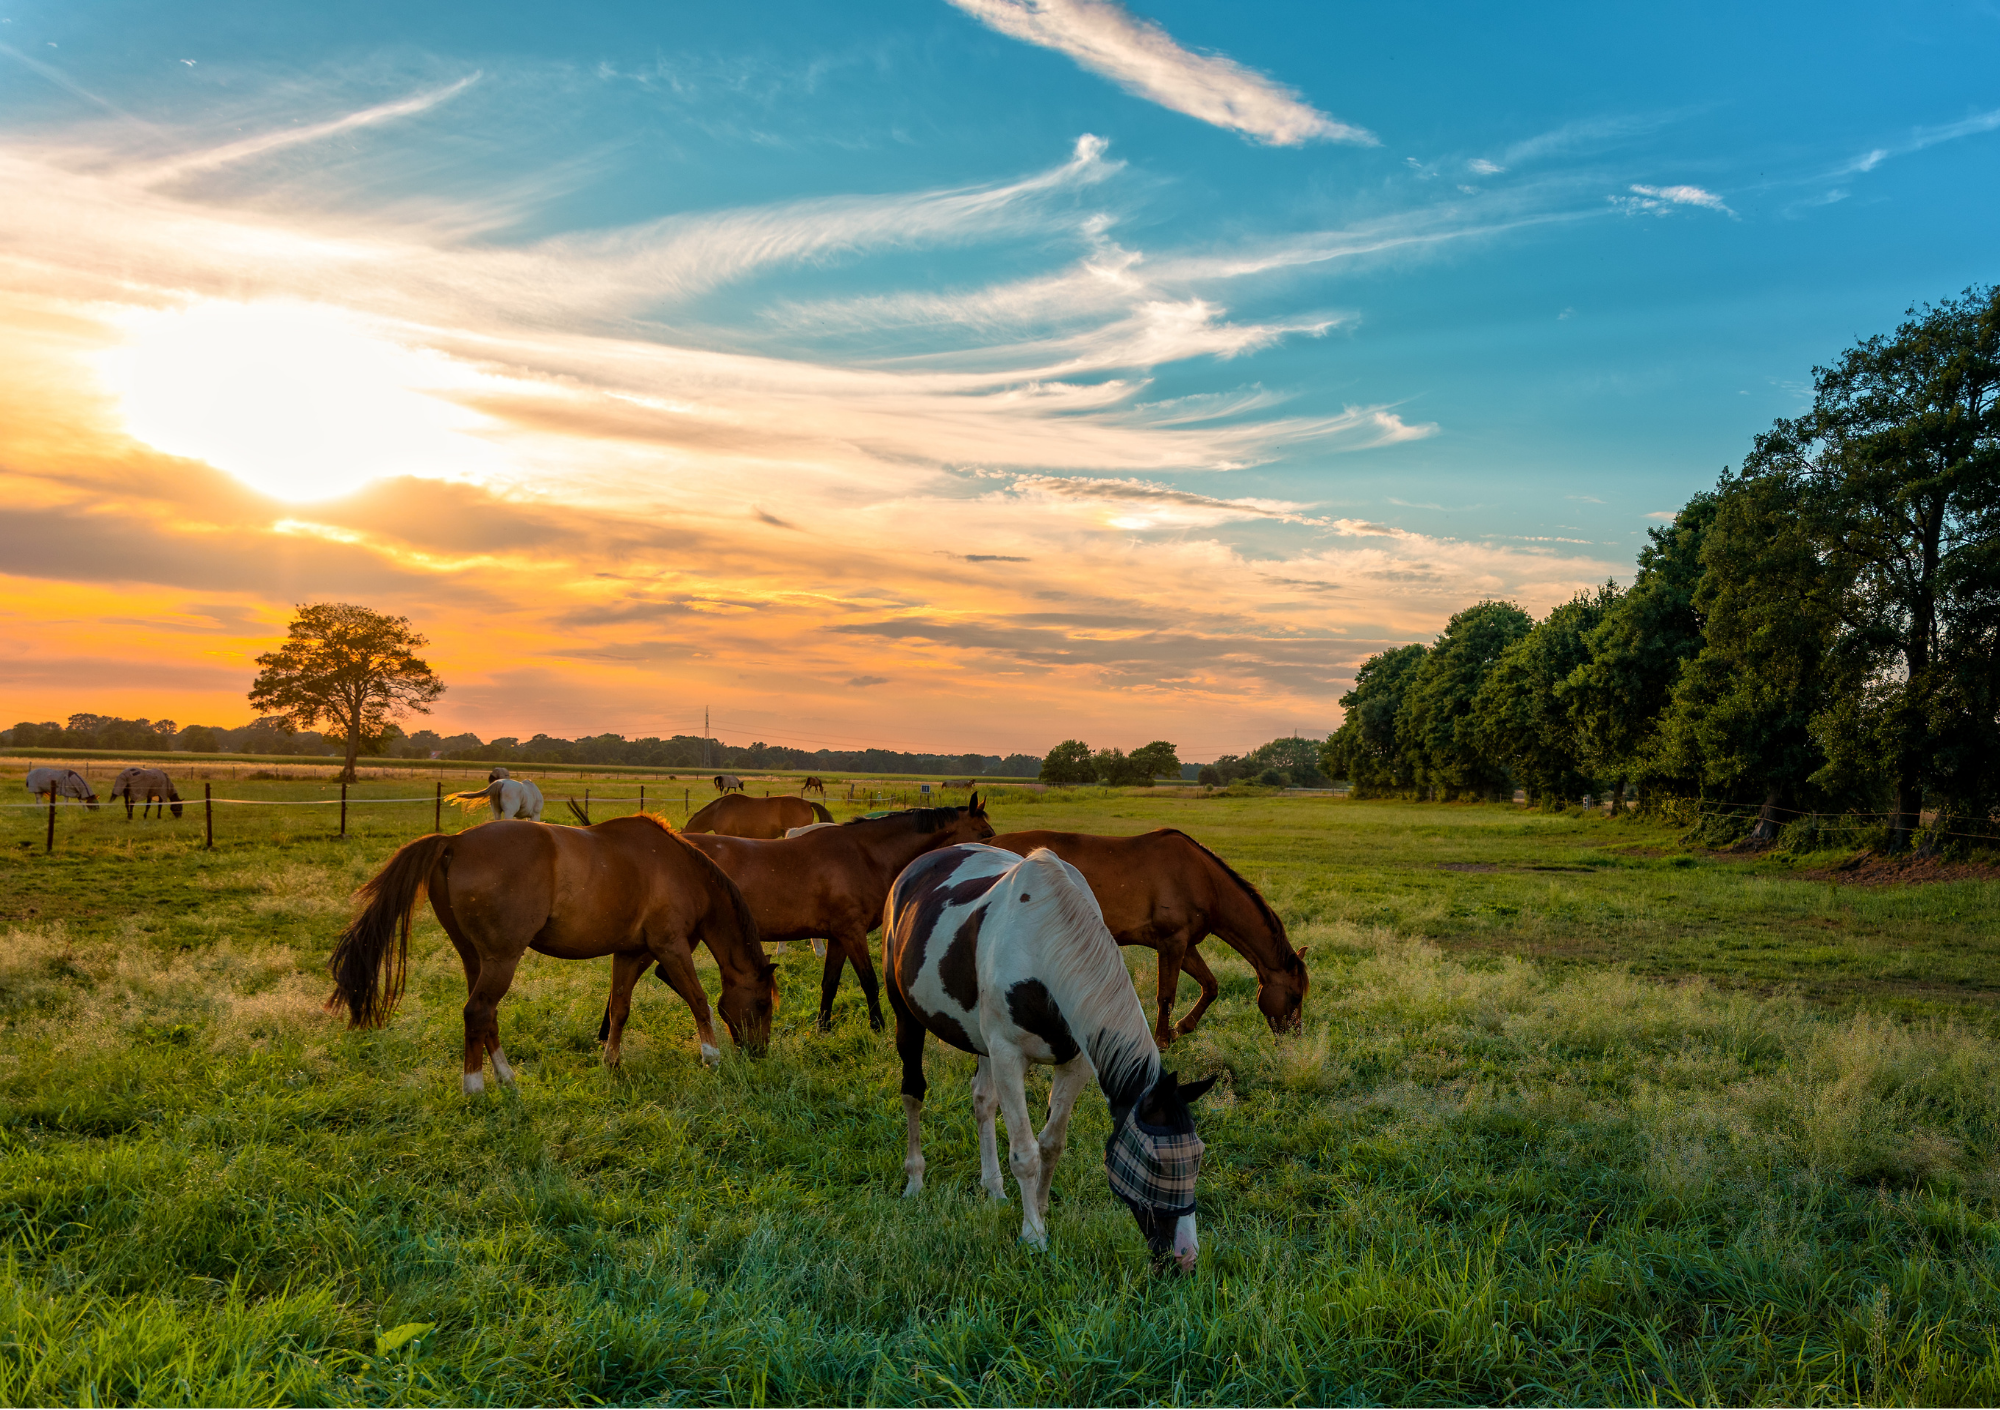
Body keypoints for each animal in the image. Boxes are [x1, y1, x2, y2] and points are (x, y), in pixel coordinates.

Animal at [328, 815, 776, 1090]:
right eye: (763, 1004)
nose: (759, 1054)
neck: (679, 868)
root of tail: (454, 842)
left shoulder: (629, 953)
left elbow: (619, 1009)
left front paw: (611, 1062)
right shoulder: (670, 947)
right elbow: (699, 1000)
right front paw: (712, 1057)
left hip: (477, 959)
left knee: (485, 1016)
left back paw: (507, 1079)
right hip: (502, 959)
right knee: (477, 1013)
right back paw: (474, 1088)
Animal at [885, 844, 1218, 1270]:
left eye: (1198, 1156)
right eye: (1155, 1162)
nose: (1186, 1256)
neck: (1042, 942)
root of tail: (915, 867)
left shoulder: (1075, 1063)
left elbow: (1051, 1144)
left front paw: (1040, 1211)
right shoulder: (1009, 1057)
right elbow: (1025, 1153)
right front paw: (1033, 1236)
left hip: (983, 1043)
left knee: (982, 1101)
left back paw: (993, 1189)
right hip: (907, 1016)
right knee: (913, 1092)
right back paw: (915, 1180)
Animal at [987, 829, 1307, 1045]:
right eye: (1295, 996)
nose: (1294, 1040)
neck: (1203, 879)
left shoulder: (1184, 945)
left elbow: (1210, 986)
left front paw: (1181, 1028)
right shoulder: (1172, 943)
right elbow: (1166, 995)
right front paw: (1161, 1041)